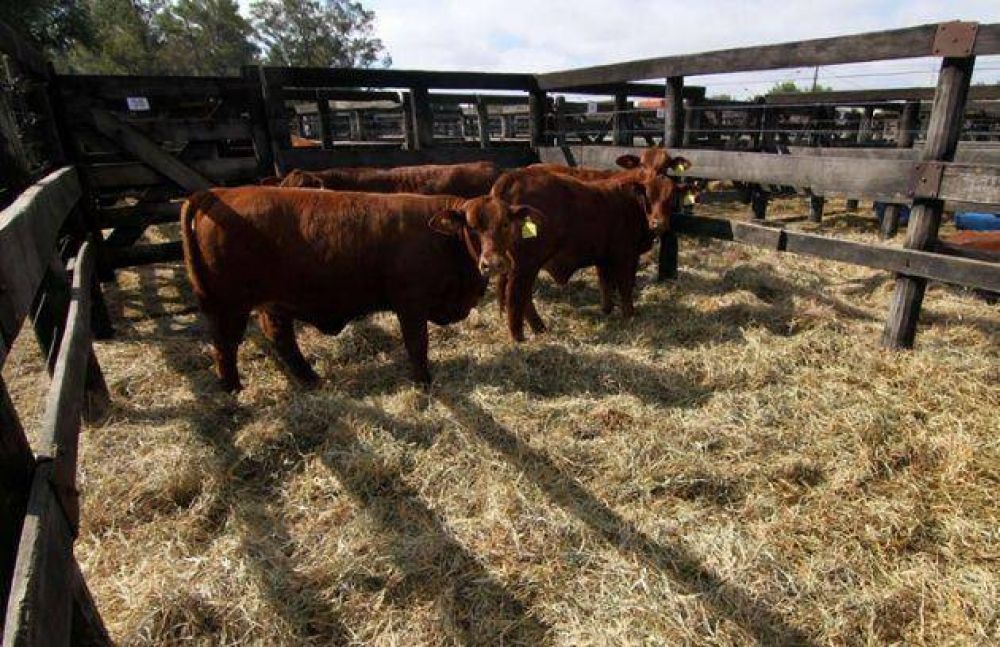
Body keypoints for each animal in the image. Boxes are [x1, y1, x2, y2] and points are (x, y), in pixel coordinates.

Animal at [180, 185, 540, 392]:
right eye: (473, 227)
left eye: (506, 223)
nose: (494, 263)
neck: (445, 242)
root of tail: (219, 193)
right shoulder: (410, 303)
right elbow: (417, 344)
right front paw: (423, 383)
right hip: (228, 304)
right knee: (225, 345)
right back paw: (233, 390)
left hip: (273, 301)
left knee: (280, 338)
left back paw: (310, 380)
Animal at [490, 165, 684, 342]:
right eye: (648, 196)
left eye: (671, 198)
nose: (658, 223)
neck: (631, 203)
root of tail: (514, 176)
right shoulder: (625, 255)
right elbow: (625, 286)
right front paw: (629, 314)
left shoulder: (604, 257)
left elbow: (605, 284)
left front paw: (606, 310)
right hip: (526, 264)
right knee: (516, 294)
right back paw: (519, 336)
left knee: (522, 296)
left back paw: (539, 328)